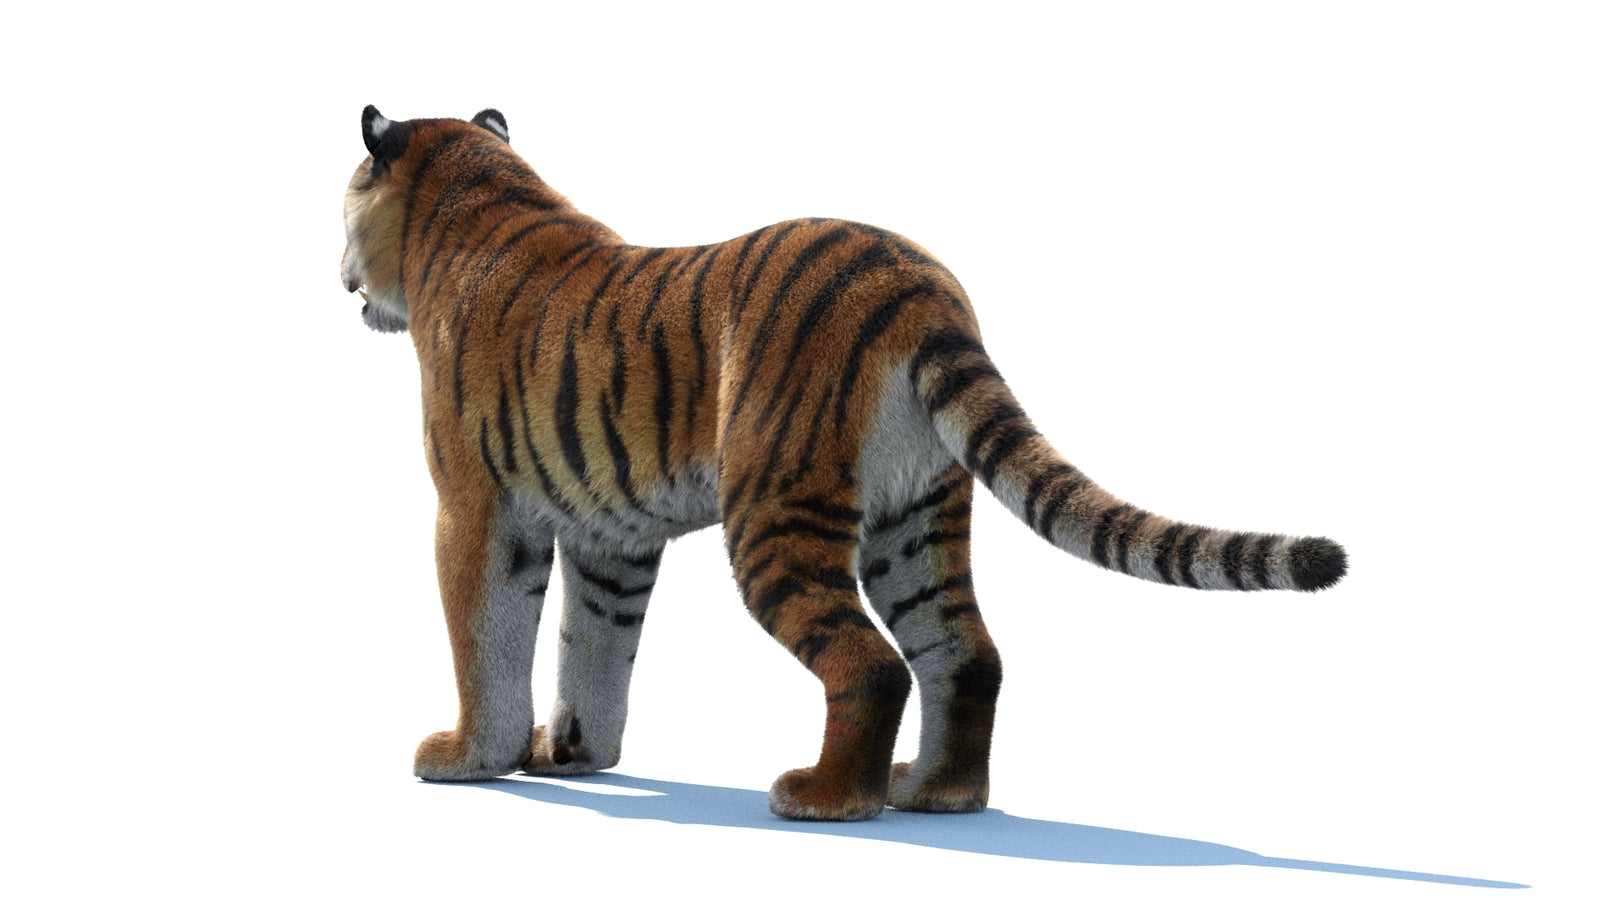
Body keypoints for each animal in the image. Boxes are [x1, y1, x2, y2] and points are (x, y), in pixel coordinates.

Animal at [339, 105, 1346, 822]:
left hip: (776, 513)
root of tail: (914, 282)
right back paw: (936, 792)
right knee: (966, 652)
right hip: (916, 519)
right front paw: (573, 753)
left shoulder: (477, 509)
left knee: (872, 664)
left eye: (346, 212)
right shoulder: (609, 536)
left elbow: (486, 637)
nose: (341, 275)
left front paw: (470, 758)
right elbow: (591, 647)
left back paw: (826, 799)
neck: (473, 198)